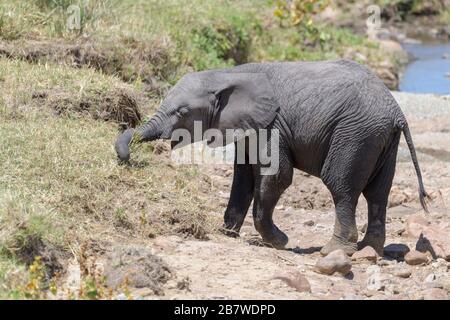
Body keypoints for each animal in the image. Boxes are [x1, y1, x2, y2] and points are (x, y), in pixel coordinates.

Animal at [116, 59, 428, 255]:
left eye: (182, 112)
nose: (126, 159)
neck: (227, 74)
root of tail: (397, 112)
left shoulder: (272, 125)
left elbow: (276, 175)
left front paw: (279, 242)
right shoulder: (247, 125)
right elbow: (243, 177)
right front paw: (227, 233)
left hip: (355, 134)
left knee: (341, 187)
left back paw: (335, 251)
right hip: (380, 139)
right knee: (378, 193)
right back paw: (367, 250)